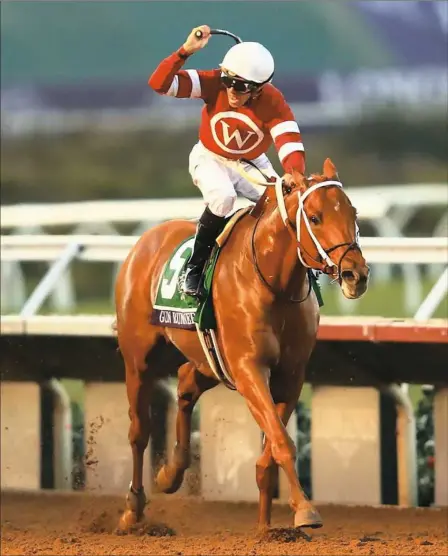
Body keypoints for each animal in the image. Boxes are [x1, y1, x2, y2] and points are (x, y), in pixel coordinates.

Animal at [115, 156, 372, 528]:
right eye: (315, 217)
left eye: (352, 212)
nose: (356, 275)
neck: (274, 283)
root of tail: (145, 240)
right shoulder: (249, 368)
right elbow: (281, 441)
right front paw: (305, 510)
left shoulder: (291, 374)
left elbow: (271, 449)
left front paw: (266, 526)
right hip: (138, 359)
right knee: (139, 430)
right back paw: (133, 507)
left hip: (210, 360)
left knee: (186, 383)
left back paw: (171, 473)